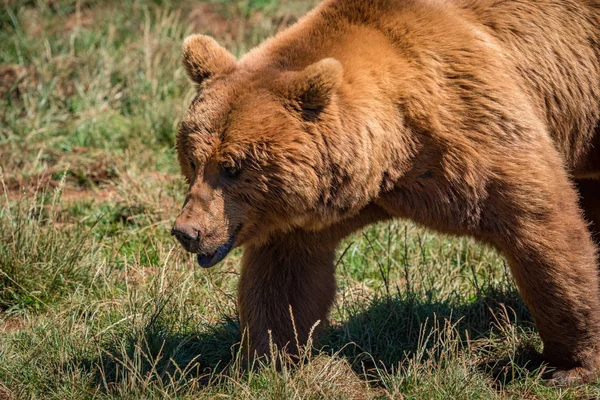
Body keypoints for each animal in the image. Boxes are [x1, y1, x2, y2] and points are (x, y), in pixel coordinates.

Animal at [170, 0, 600, 384]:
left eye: (232, 167)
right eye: (192, 158)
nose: (186, 231)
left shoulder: (472, 120)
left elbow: (539, 223)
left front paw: (567, 364)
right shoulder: (309, 209)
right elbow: (284, 280)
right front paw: (264, 361)